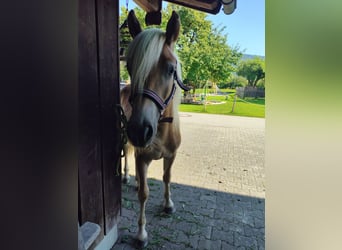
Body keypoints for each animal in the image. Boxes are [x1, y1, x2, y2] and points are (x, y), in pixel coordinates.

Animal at [120, 10, 190, 248]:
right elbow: (144, 193)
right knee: (125, 155)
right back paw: (127, 177)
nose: (140, 130)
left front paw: (168, 205)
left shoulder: (172, 155)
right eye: (129, 67)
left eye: (171, 69)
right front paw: (141, 234)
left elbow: (167, 178)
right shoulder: (142, 157)